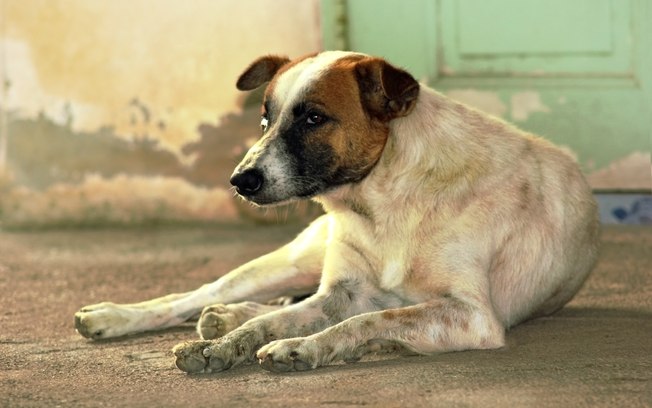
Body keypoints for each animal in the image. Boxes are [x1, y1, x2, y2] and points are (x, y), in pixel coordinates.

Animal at [72, 51, 600, 372]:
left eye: (313, 117)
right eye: (264, 119)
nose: (240, 181)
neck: (382, 204)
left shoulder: (471, 315)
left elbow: (363, 322)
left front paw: (302, 346)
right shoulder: (342, 291)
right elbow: (267, 324)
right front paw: (225, 345)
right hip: (296, 257)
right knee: (198, 294)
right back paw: (121, 316)